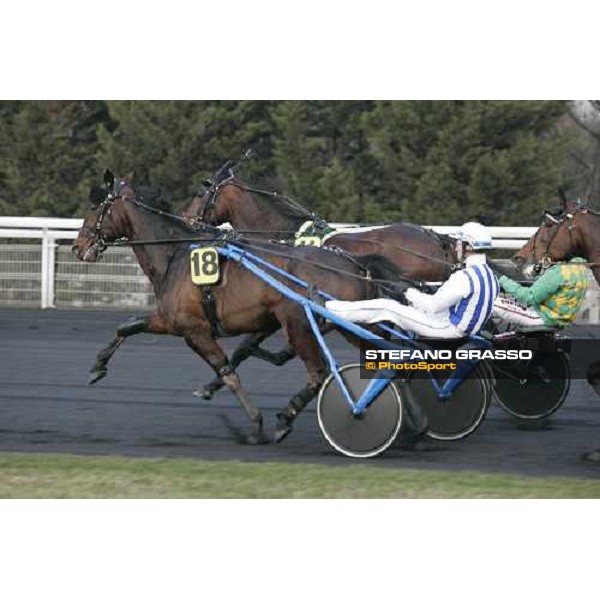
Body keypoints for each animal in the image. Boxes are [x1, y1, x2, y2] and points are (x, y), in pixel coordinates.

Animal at [75, 171, 408, 442]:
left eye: (95, 206)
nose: (79, 247)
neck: (175, 254)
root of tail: (354, 263)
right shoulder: (172, 321)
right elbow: (128, 325)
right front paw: (97, 367)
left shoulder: (193, 330)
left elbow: (228, 372)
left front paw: (255, 422)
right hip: (353, 324)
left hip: (303, 325)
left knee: (321, 372)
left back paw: (289, 418)